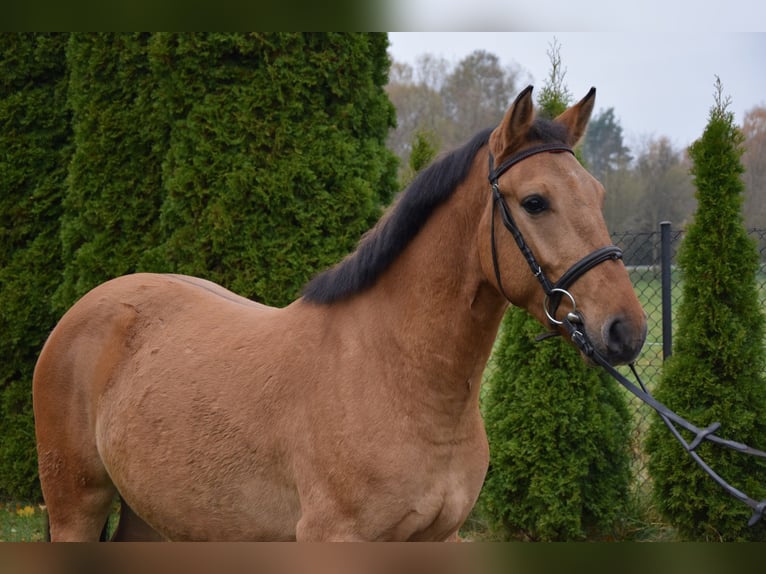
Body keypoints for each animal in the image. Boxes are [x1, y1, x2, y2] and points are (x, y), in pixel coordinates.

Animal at [33, 86, 647, 541]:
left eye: (597, 194)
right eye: (535, 202)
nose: (626, 330)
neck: (399, 376)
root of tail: (88, 308)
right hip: (75, 507)